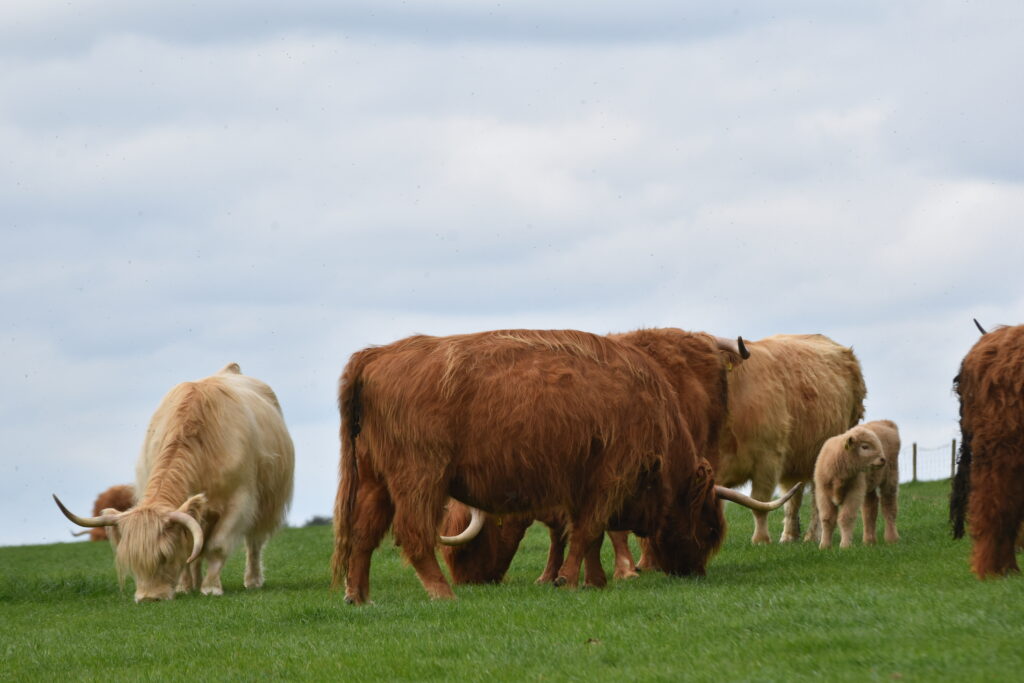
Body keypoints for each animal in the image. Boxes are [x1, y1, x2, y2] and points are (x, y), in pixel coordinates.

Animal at [55, 363, 295, 602]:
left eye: (164, 556)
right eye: (131, 560)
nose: (149, 598)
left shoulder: (239, 502)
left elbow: (216, 546)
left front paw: (211, 587)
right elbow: (191, 549)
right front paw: (185, 587)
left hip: (266, 505)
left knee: (254, 543)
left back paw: (252, 580)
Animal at [332, 328, 797, 604]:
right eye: (708, 526)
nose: (694, 572)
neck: (651, 403)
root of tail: (375, 356)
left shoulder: (580, 486)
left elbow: (586, 534)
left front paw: (594, 579)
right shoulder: (609, 477)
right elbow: (589, 531)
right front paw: (570, 580)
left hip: (374, 480)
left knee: (364, 534)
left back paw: (359, 596)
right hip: (420, 478)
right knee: (412, 534)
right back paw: (442, 592)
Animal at [811, 420, 899, 549]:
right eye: (865, 446)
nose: (883, 459)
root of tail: (885, 422)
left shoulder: (854, 493)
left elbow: (846, 518)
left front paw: (845, 545)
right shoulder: (822, 493)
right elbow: (827, 519)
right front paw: (825, 546)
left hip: (890, 480)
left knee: (888, 506)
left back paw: (892, 538)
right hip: (869, 488)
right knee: (870, 509)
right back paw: (869, 541)